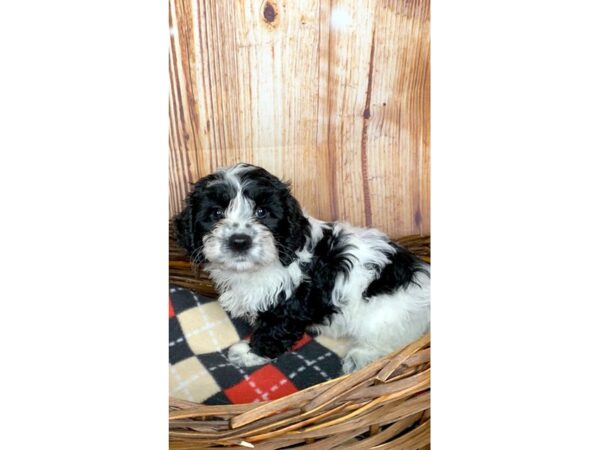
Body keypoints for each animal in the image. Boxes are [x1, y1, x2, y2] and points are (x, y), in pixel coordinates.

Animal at [175, 163, 432, 374]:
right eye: (217, 213)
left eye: (262, 212)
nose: (239, 241)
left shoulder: (291, 301)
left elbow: (274, 329)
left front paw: (250, 353)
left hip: (385, 316)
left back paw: (360, 357)